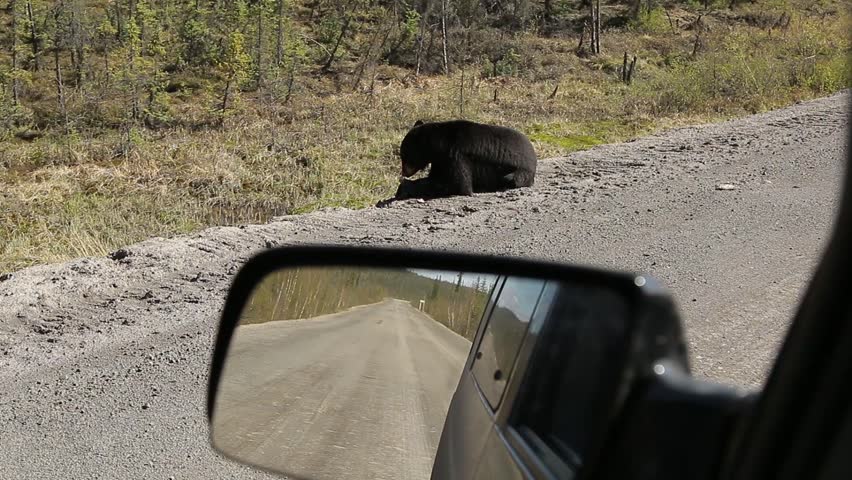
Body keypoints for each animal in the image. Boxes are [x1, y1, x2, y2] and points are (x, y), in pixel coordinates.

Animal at [394, 119, 537, 199]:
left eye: (404, 155)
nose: (404, 172)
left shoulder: (456, 156)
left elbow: (457, 184)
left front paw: (406, 187)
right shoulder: (439, 161)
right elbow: (437, 176)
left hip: (520, 172)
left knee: (510, 178)